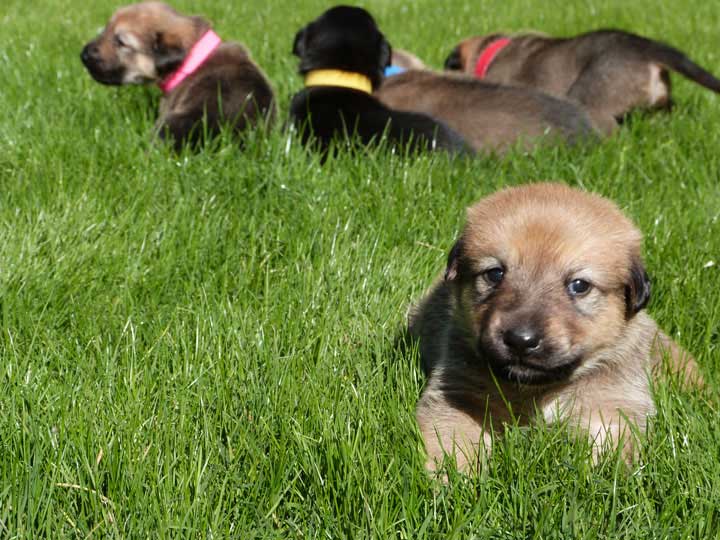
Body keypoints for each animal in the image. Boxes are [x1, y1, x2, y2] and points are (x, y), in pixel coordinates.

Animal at [410, 184, 696, 470]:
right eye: (494, 273)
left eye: (579, 285)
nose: (520, 340)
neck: (540, 388)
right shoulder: (460, 392)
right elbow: (454, 439)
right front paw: (452, 475)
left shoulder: (614, 403)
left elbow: (609, 447)